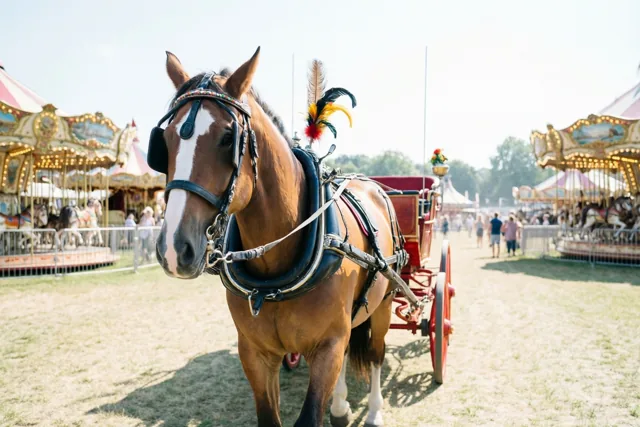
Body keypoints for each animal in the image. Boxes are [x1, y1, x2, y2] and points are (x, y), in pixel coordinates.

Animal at [152, 48, 399, 426]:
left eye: (228, 138)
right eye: (164, 142)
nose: (173, 248)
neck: (273, 279)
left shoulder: (326, 347)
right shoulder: (256, 353)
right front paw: (337, 405)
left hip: (383, 303)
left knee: (375, 354)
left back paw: (372, 411)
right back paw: (341, 407)